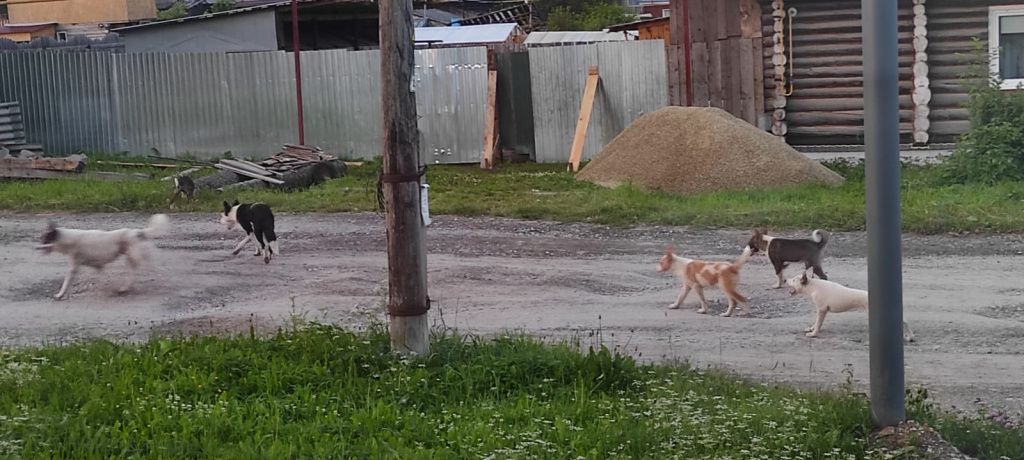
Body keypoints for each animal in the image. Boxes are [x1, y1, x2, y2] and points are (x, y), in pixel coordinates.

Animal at [35, 213, 168, 299]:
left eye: (45, 239)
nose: (36, 248)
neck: (68, 239)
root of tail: (138, 232)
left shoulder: (73, 268)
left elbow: (66, 282)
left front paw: (59, 294)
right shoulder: (98, 266)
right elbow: (101, 277)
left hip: (136, 256)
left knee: (149, 268)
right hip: (131, 258)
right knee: (133, 272)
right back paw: (124, 288)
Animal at [786, 272, 917, 340]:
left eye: (794, 280)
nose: (785, 280)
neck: (813, 286)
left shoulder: (821, 310)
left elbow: (818, 323)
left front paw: (814, 333)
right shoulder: (822, 310)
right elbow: (817, 322)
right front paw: (811, 328)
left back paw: (909, 336)